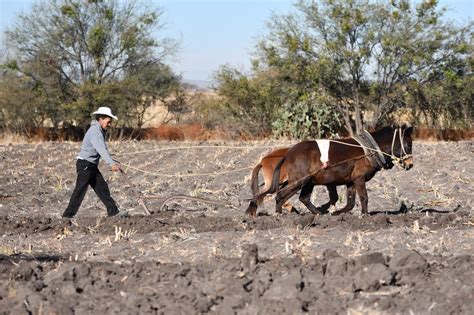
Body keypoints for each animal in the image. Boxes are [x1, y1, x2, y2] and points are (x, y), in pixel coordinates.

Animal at [258, 126, 412, 217]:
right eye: (408, 144)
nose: (410, 164)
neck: (369, 150)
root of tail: (288, 153)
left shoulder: (351, 182)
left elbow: (350, 203)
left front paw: (337, 212)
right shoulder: (359, 178)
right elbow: (364, 197)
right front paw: (365, 215)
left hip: (308, 182)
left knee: (304, 198)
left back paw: (319, 213)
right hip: (299, 181)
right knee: (280, 195)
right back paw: (279, 215)